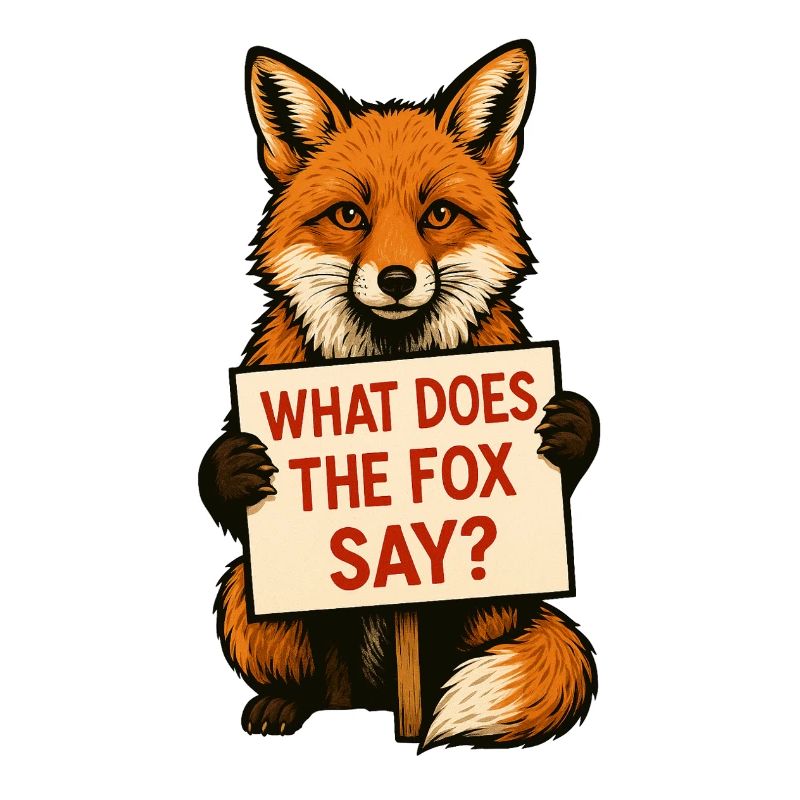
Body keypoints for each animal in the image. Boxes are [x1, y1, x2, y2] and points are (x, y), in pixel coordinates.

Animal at [199, 40, 600, 750]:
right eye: (349, 216)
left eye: (437, 214)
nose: (394, 279)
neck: (390, 365)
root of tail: (371, 699)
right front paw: (236, 464)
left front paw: (569, 428)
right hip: (247, 592)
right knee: (316, 683)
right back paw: (289, 704)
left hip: (488, 599)